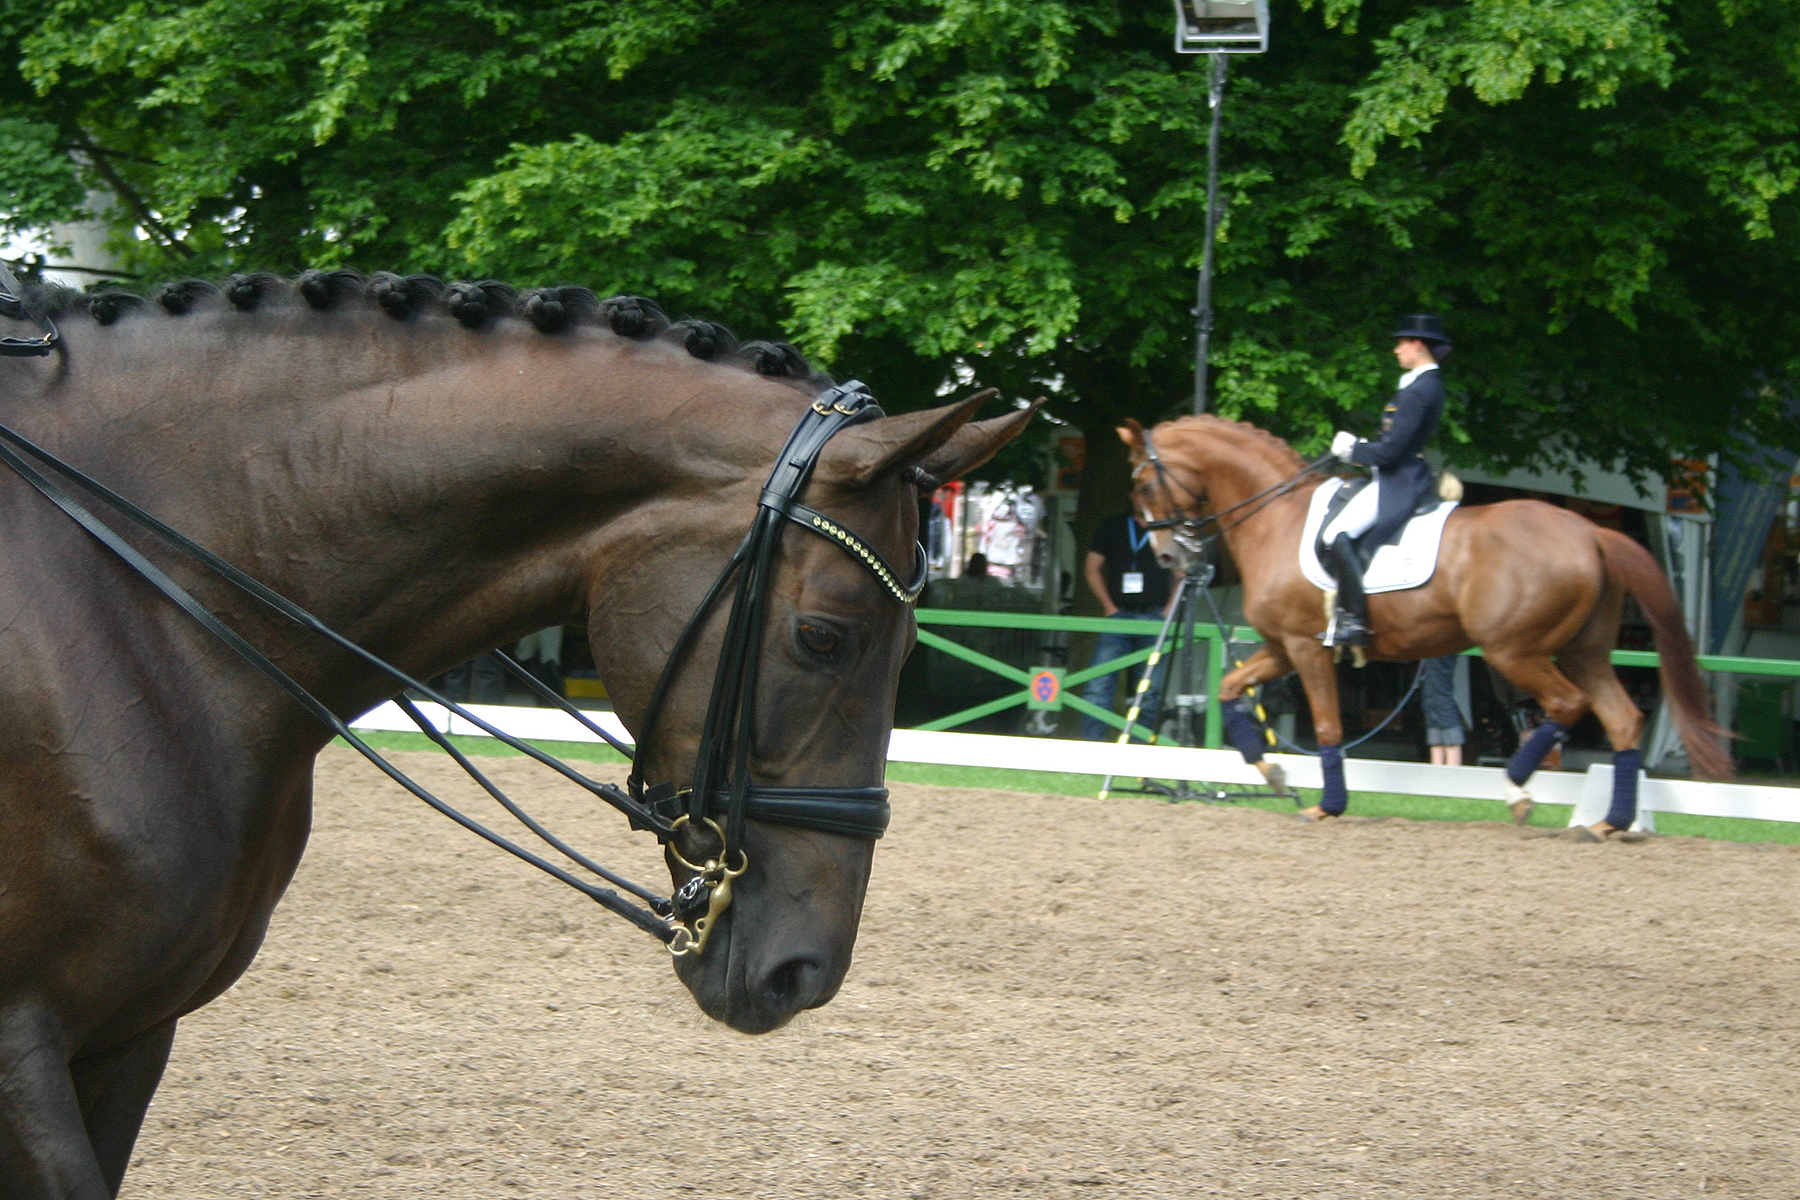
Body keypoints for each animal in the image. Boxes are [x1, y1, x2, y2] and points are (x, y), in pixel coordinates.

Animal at [1123, 413, 1728, 827]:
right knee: (1622, 720)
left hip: (1514, 651)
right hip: (1585, 651)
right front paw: (1270, 771)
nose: (1169, 559)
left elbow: (1328, 727)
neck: (1278, 516)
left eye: (1145, 484)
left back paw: (1518, 791)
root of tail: (1590, 531)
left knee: (1565, 704)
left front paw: (1328, 805)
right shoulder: (1280, 645)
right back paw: (1609, 822)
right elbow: (1229, 689)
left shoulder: (1305, 647)